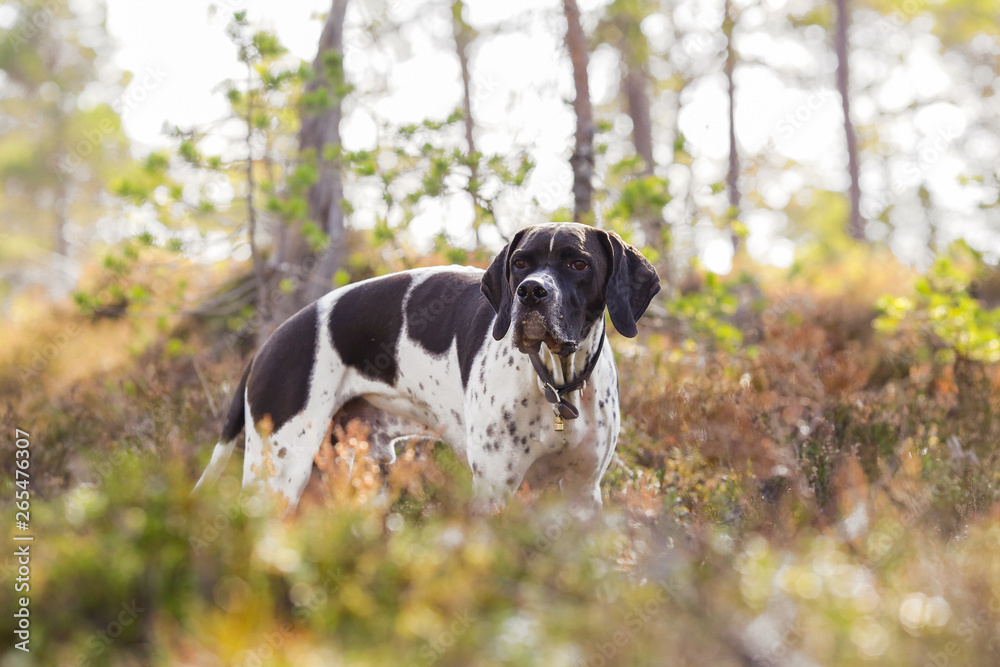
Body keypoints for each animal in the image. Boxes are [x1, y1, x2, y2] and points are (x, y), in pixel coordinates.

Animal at [196, 224, 660, 516]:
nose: (531, 292)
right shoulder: (494, 490)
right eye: (520, 264)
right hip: (280, 470)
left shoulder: (583, 491)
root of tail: (268, 344)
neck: (557, 381)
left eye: (578, 264)